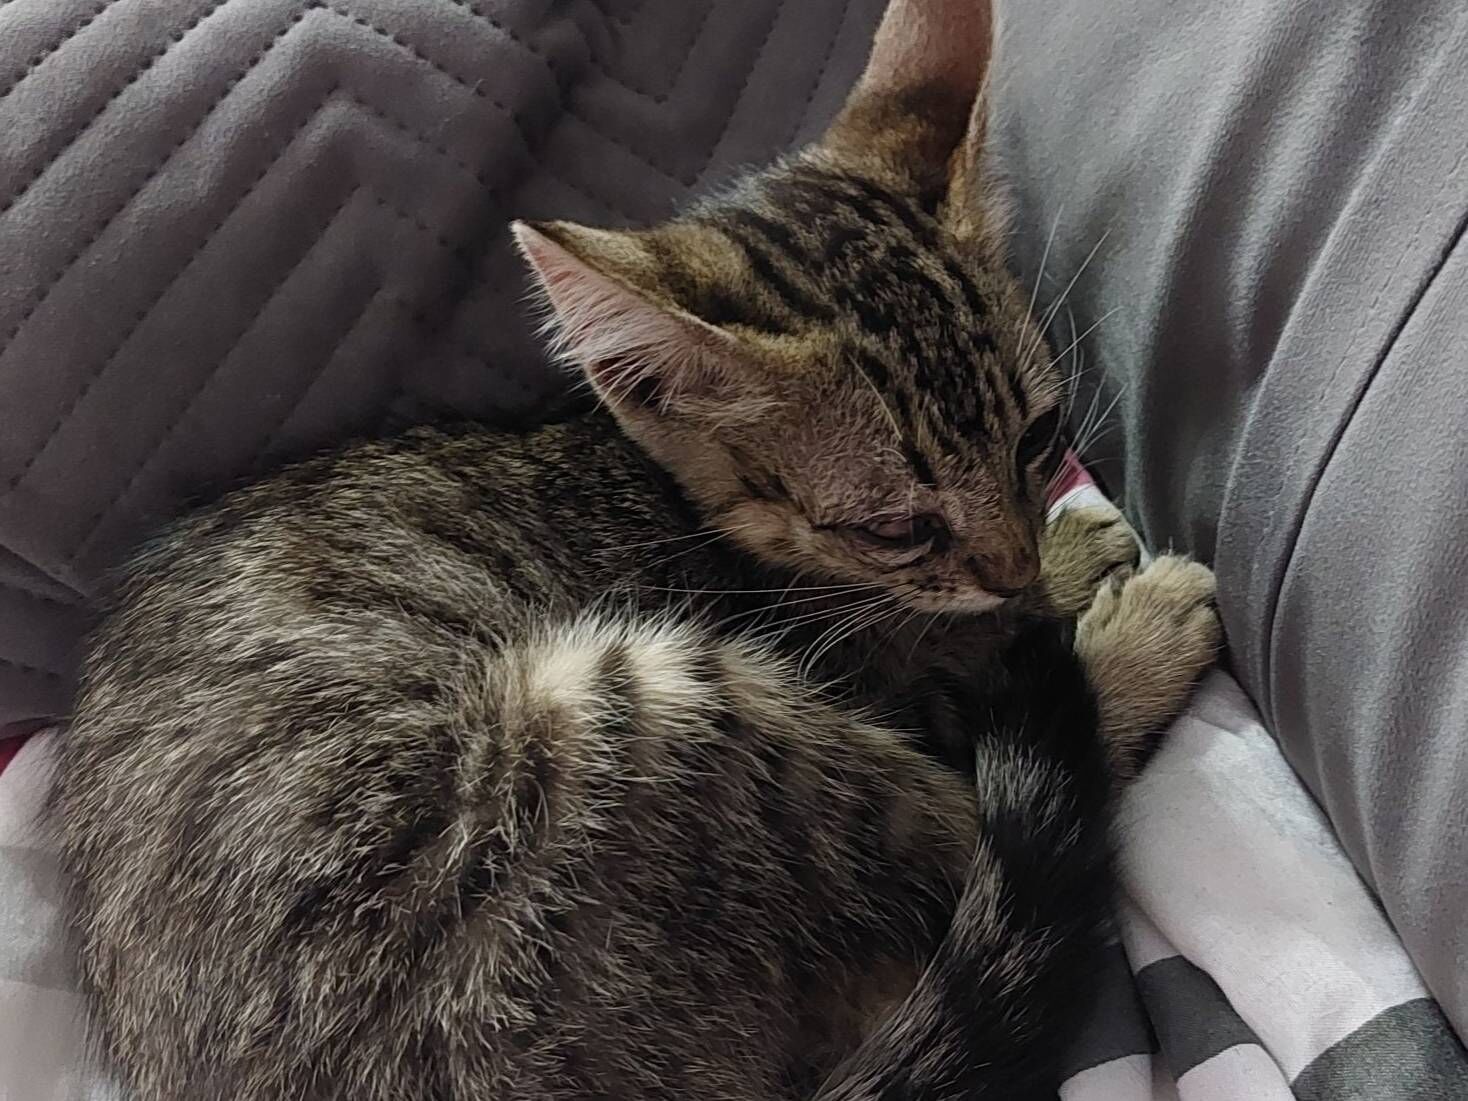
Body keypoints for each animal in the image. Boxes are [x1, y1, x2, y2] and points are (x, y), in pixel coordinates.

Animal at [52, 0, 1220, 1097]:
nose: (1015, 563)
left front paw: (1052, 565)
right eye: (898, 527)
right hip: (627, 713)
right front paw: (1081, 591)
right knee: (982, 828)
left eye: (1039, 438)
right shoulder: (891, 670)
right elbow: (988, 673)